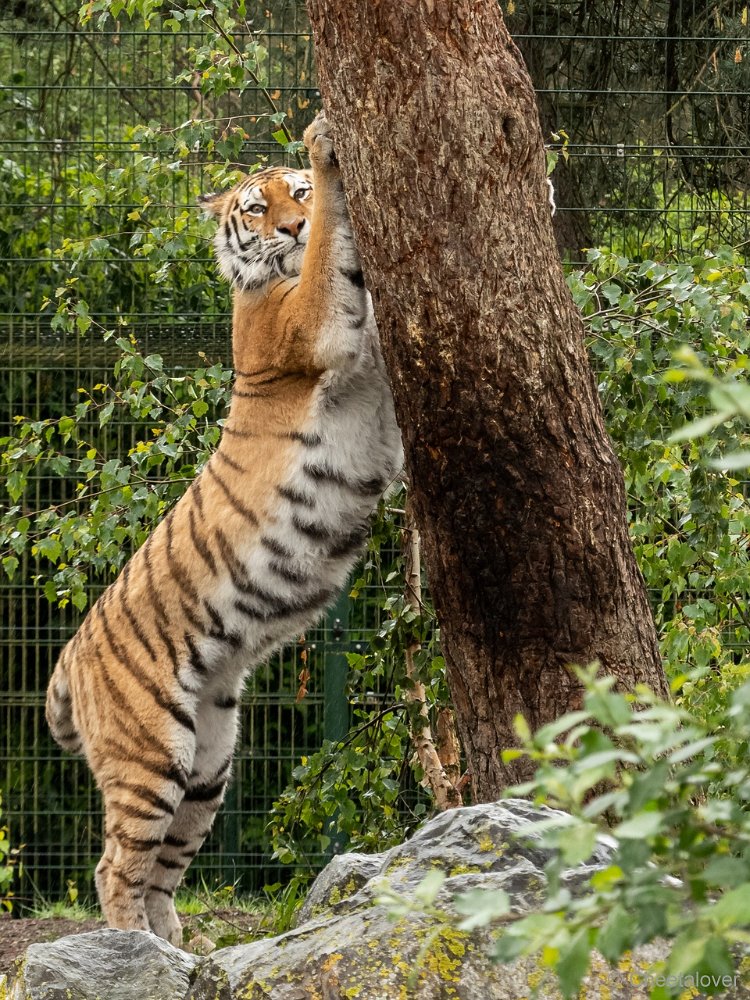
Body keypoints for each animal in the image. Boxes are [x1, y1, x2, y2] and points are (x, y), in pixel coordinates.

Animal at [47, 113, 406, 948]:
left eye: (293, 197)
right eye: (256, 208)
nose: (290, 225)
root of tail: (67, 661)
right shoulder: (313, 324)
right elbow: (332, 257)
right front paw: (324, 141)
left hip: (209, 761)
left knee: (162, 867)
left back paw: (184, 946)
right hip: (152, 751)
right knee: (115, 866)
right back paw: (136, 951)